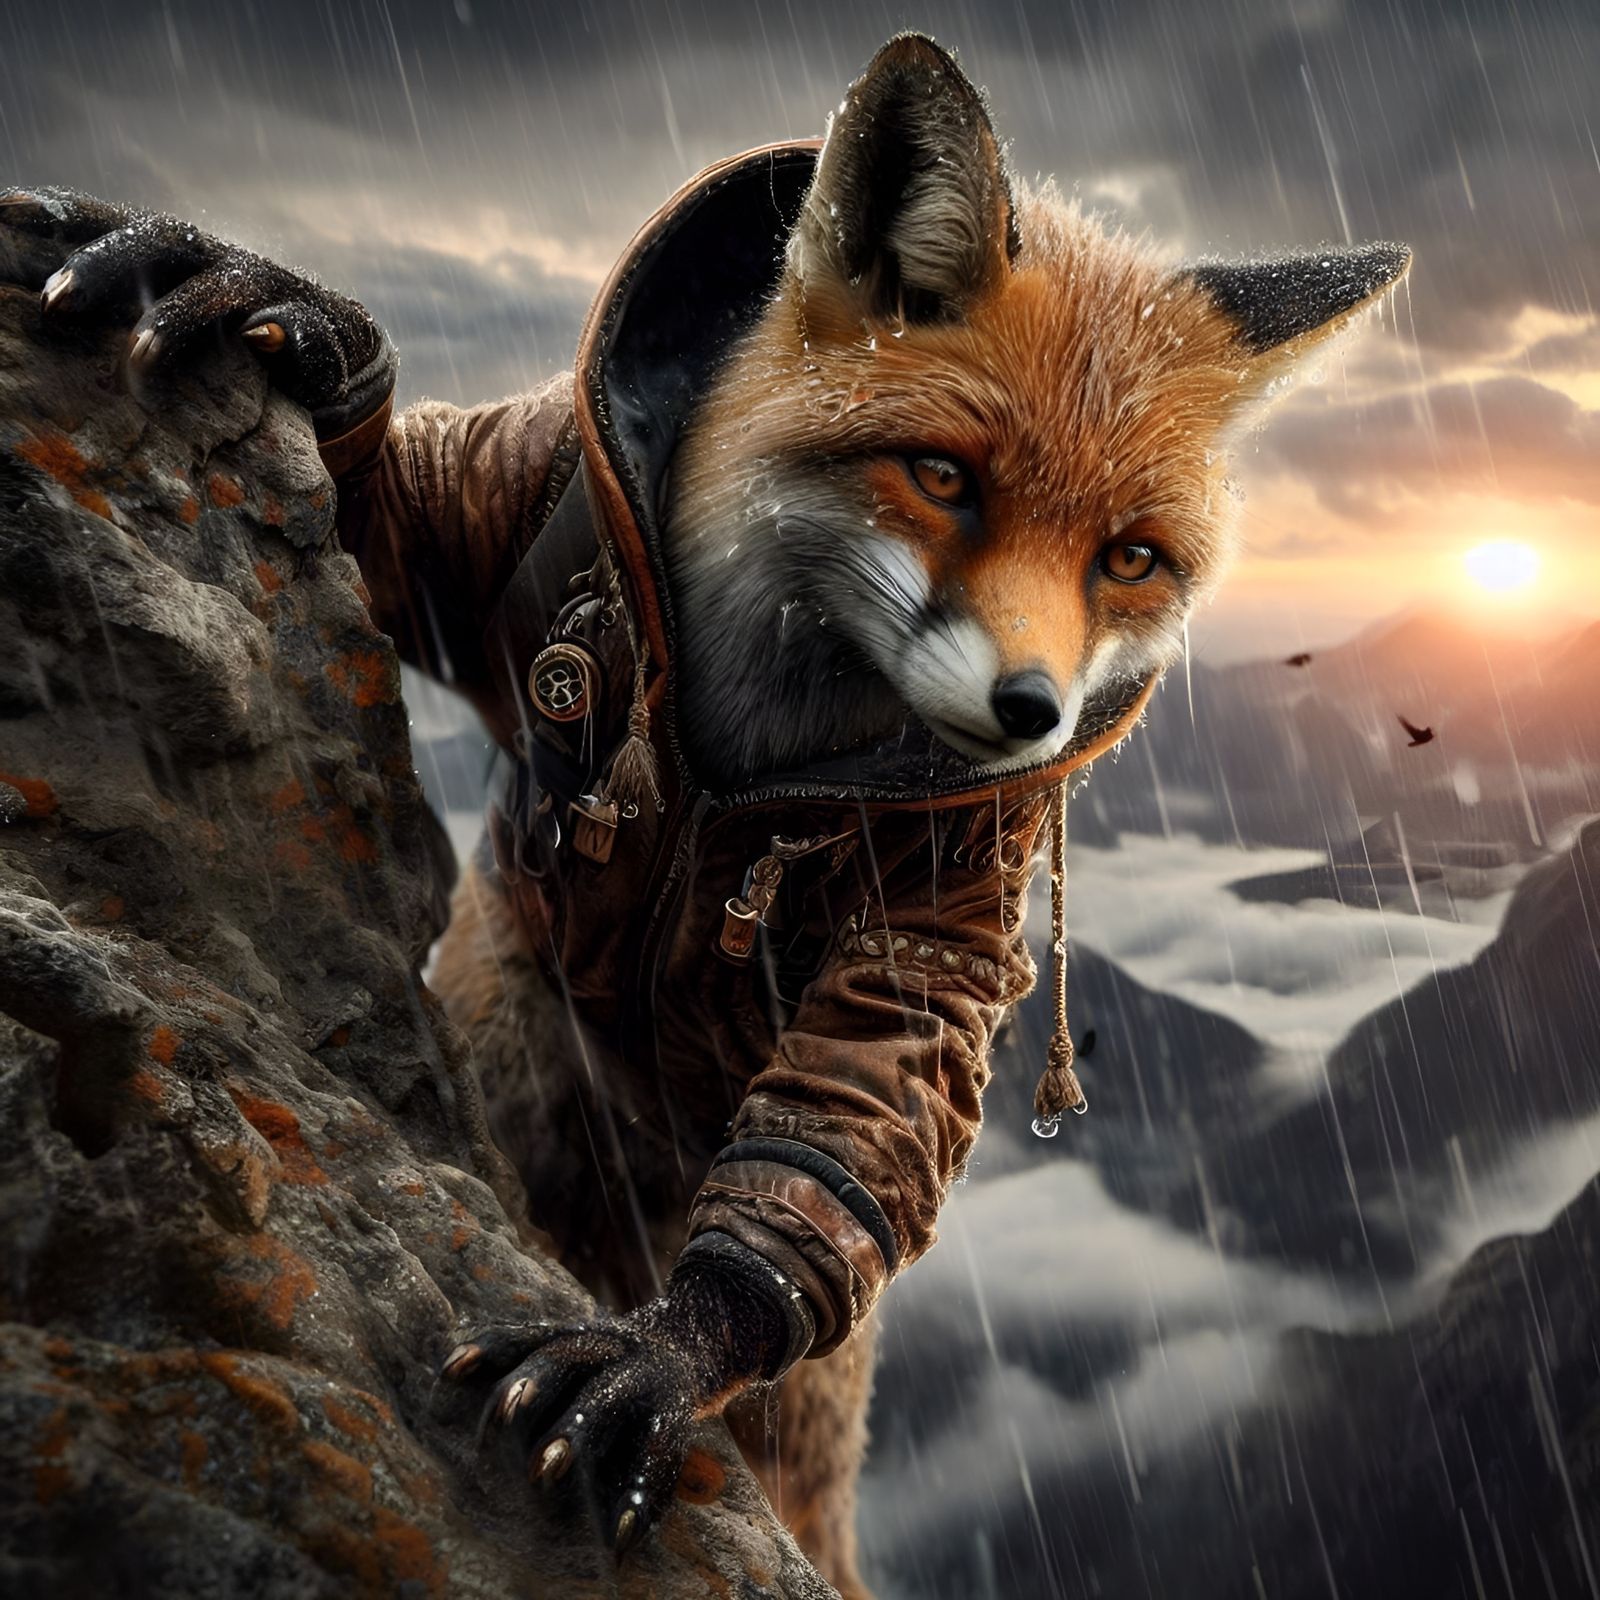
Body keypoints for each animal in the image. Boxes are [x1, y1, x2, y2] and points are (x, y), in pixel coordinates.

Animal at [6, 33, 1408, 1597]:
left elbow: (869, 1084)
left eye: (1131, 559)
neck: (750, 734)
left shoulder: (956, 876)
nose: (1032, 714)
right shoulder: (537, 496)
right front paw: (283, 310)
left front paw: (670, 1352)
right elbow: (401, 521)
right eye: (942, 476)